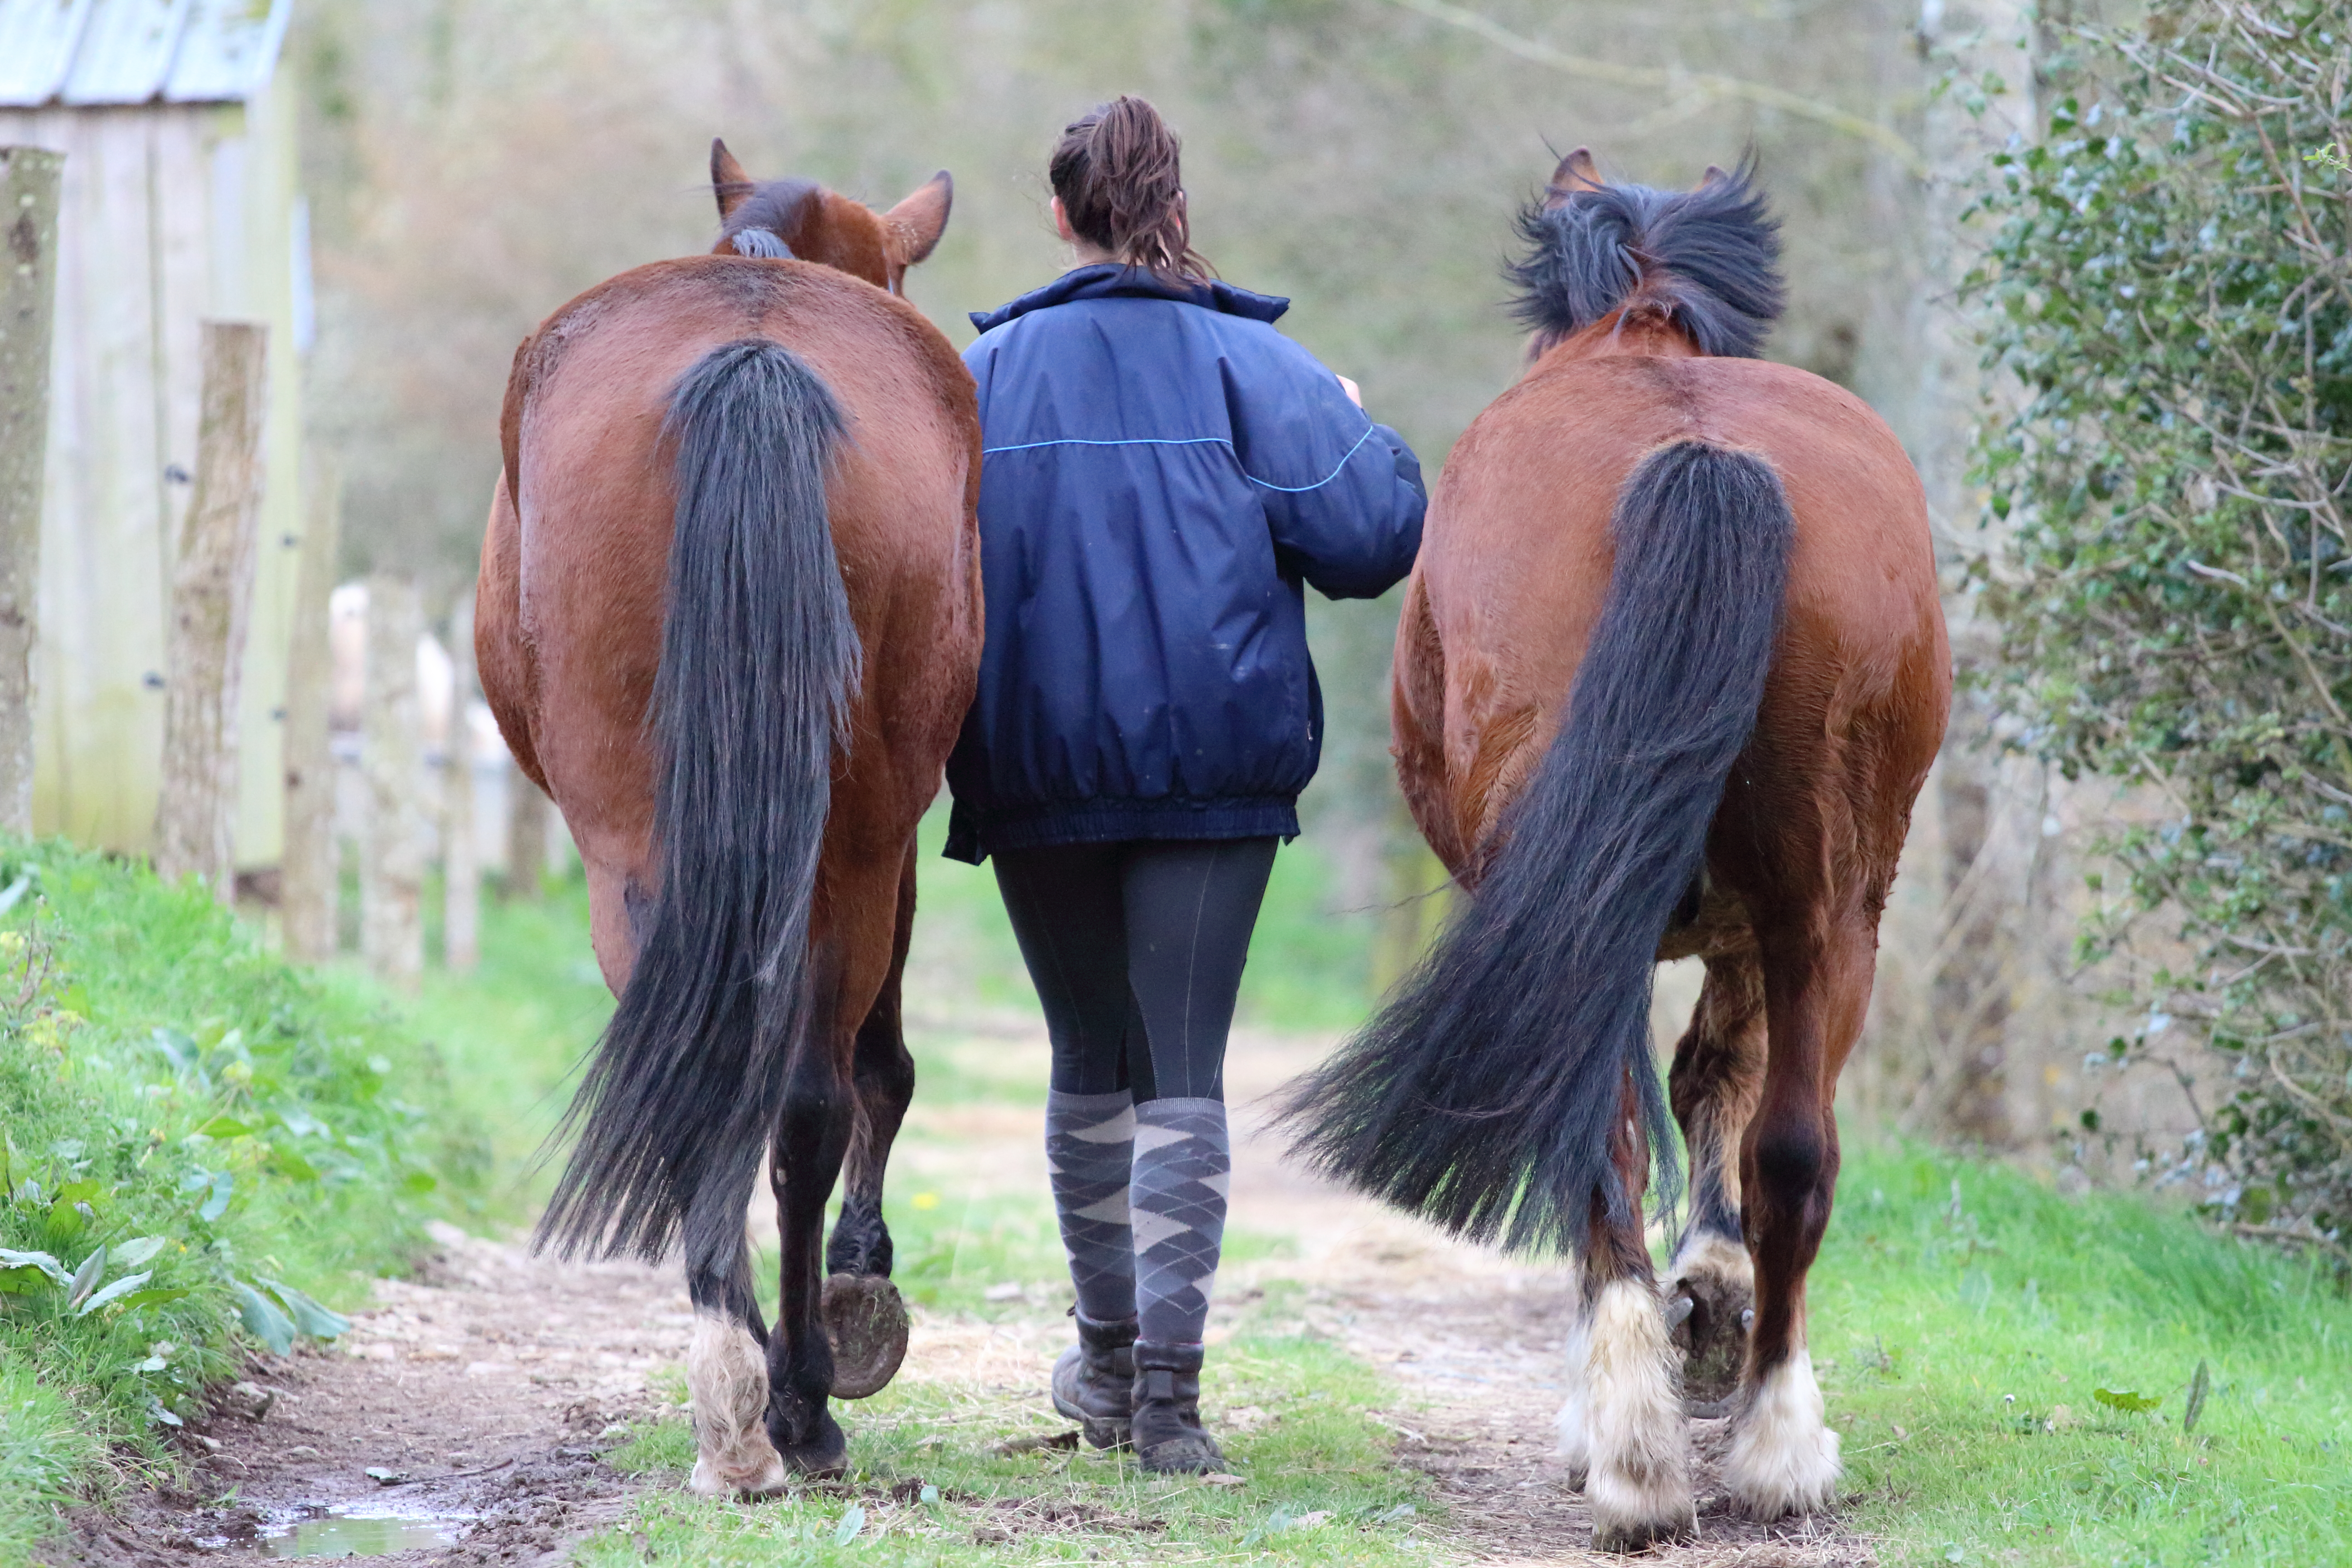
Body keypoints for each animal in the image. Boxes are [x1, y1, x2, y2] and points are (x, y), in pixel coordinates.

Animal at [474, 140, 981, 1489]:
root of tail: (752, 357)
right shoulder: (896, 842)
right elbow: (876, 1071)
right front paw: (858, 1286)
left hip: (658, 847)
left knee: (727, 1086)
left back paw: (755, 1394)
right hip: (848, 845)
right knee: (792, 1097)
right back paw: (780, 1398)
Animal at [1283, 150, 1949, 1551]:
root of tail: (1693, 449)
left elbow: (1683, 1093)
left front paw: (1683, 1321)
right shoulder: (1747, 921)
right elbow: (1719, 1089)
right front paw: (1712, 1301)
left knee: (1609, 1130)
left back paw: (1636, 1450)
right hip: (1833, 911)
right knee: (1794, 1149)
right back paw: (1769, 1444)